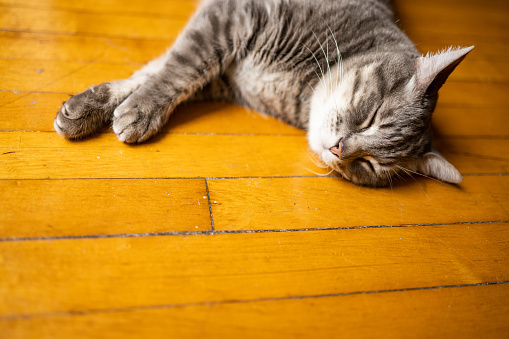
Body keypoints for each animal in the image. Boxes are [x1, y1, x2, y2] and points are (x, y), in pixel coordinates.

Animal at [52, 0, 472, 187]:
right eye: (372, 117)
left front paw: (108, 108)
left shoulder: (225, 74)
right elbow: (176, 68)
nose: (338, 150)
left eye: (370, 166)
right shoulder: (230, 18)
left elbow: (164, 74)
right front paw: (127, 109)